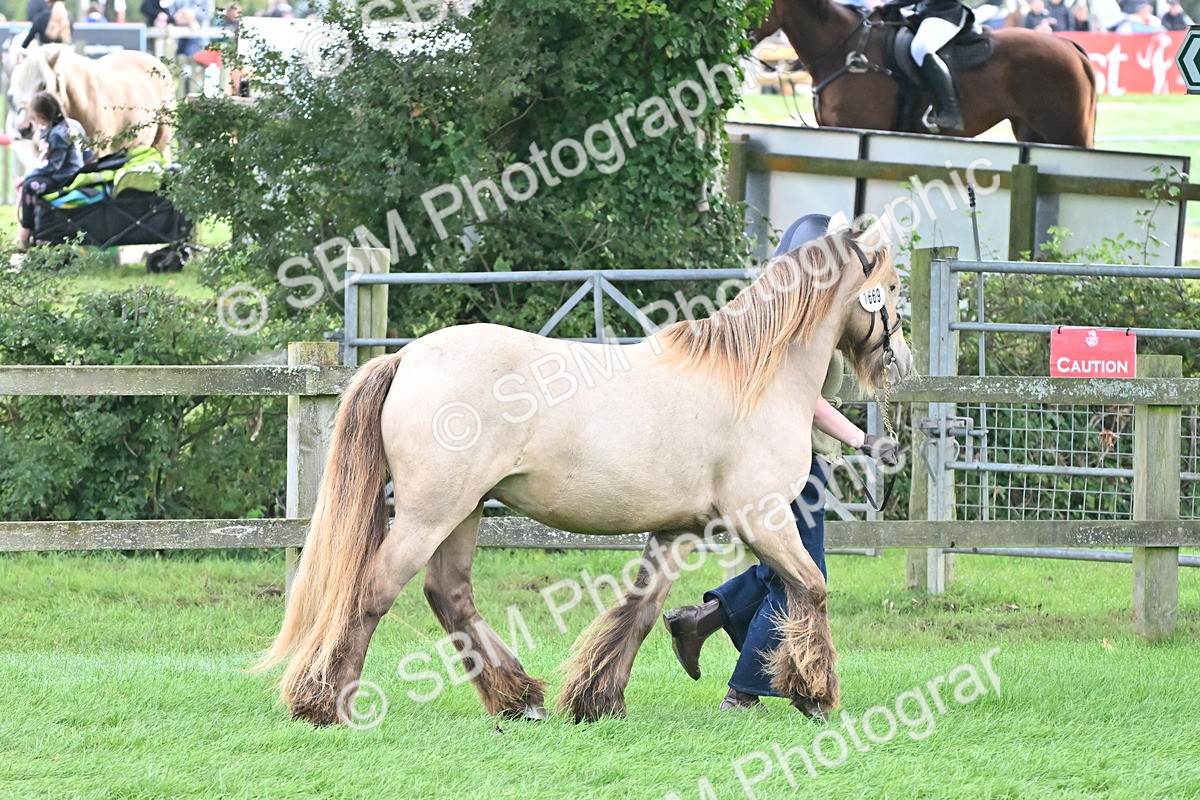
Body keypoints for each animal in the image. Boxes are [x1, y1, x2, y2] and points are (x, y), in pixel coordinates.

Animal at [254, 217, 913, 726]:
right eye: (891, 286)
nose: (902, 363)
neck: (751, 375)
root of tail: (408, 357)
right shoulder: (763, 519)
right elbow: (812, 587)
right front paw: (815, 693)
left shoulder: (678, 530)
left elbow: (640, 611)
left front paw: (600, 700)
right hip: (429, 513)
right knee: (373, 591)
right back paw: (328, 704)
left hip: (463, 512)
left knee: (450, 595)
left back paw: (520, 699)